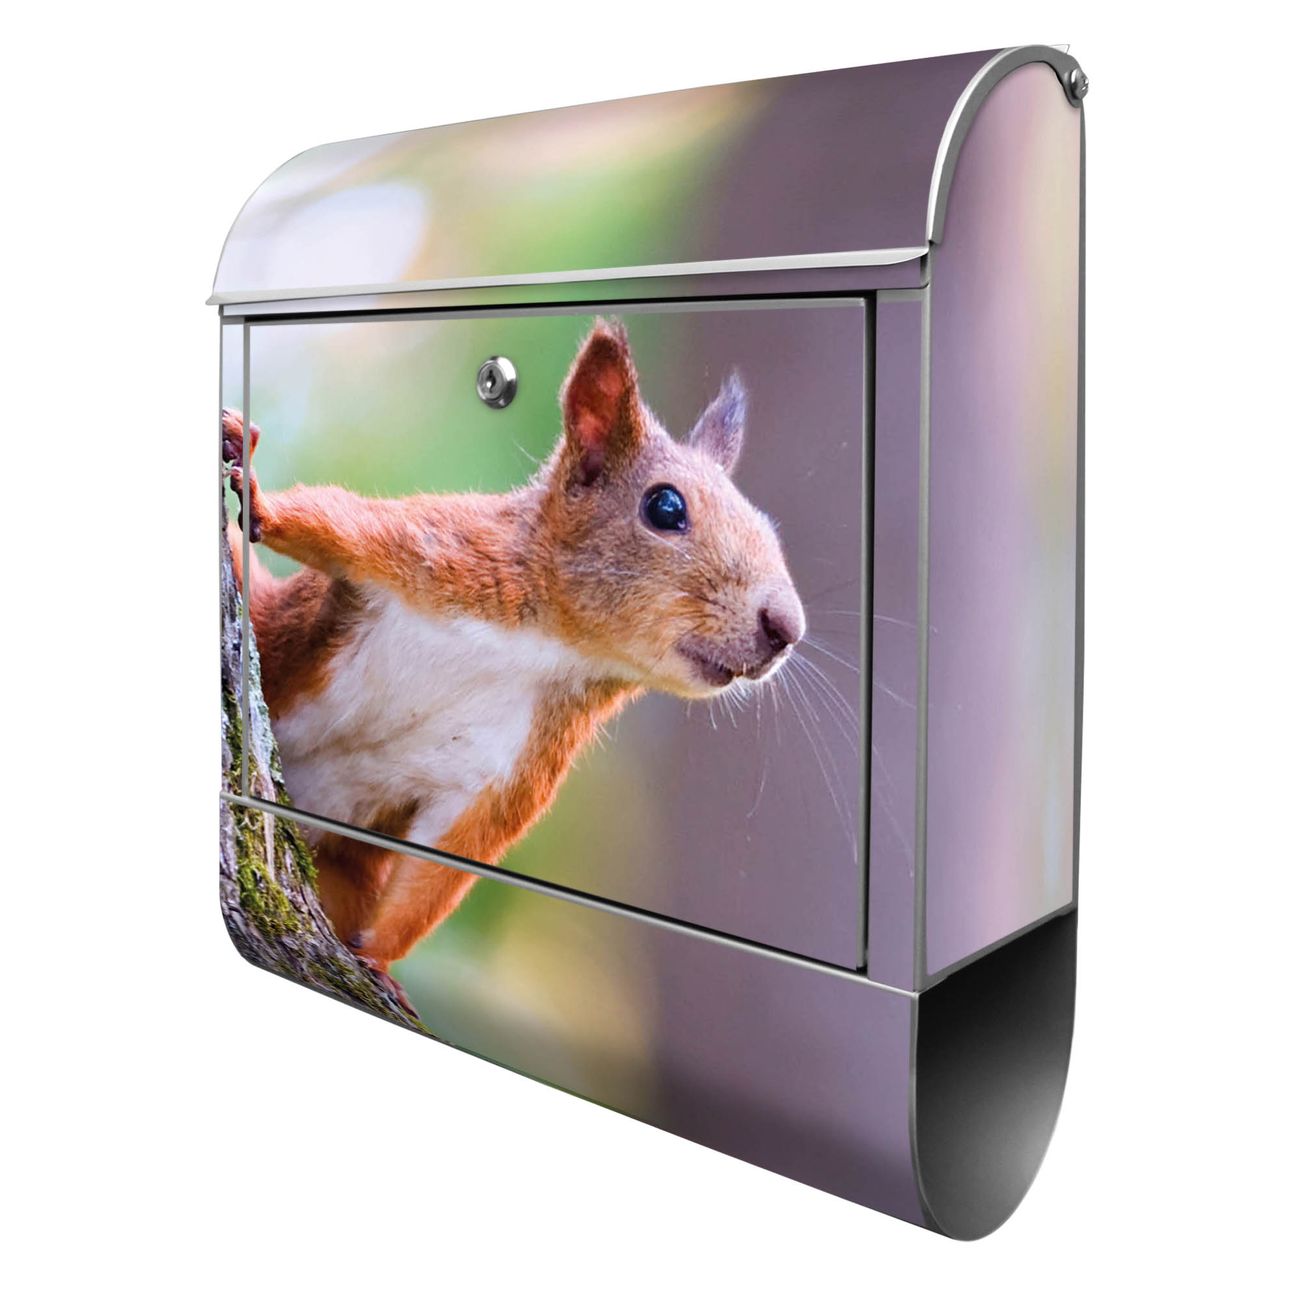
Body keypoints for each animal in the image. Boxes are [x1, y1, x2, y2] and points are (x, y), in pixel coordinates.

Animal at [223, 319, 805, 985]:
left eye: (770, 527)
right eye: (665, 507)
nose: (786, 627)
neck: (548, 646)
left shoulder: (513, 762)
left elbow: (447, 859)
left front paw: (376, 958)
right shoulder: (436, 552)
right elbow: (331, 523)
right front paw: (260, 500)